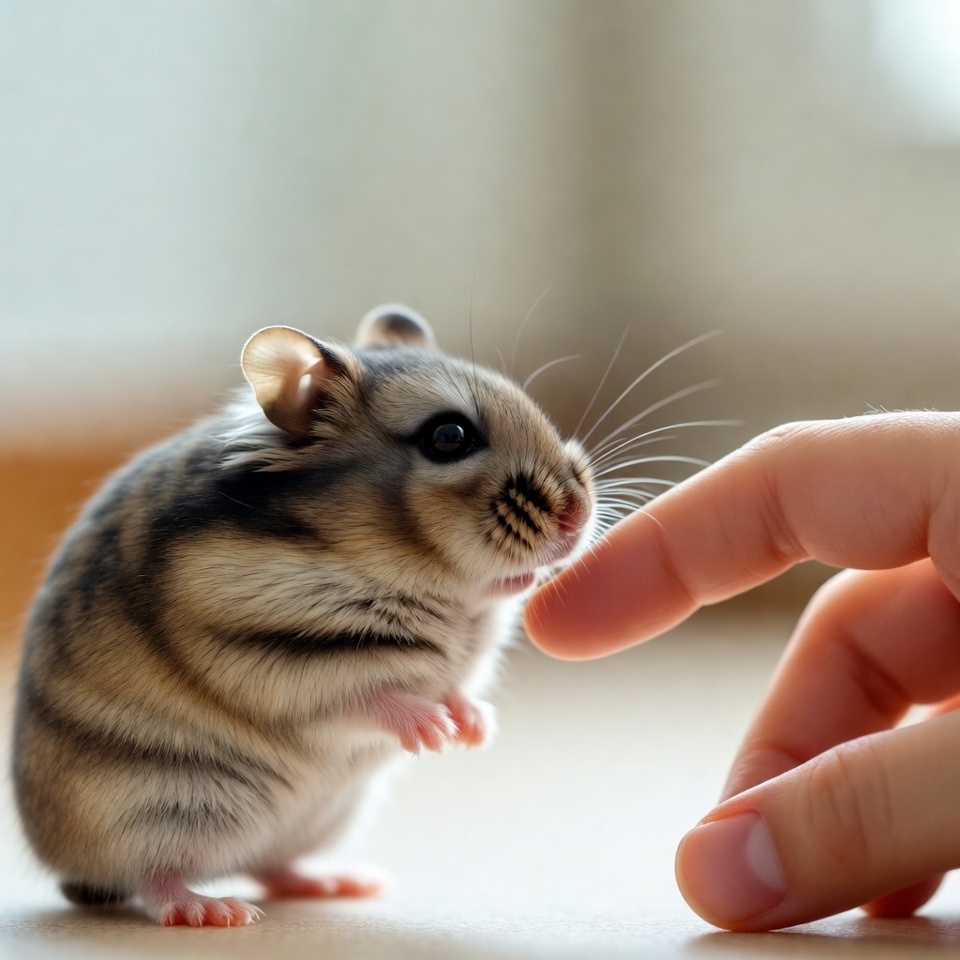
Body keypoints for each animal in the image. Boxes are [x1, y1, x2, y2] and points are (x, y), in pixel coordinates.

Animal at [12, 305, 594, 927]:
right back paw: (215, 911)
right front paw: (435, 732)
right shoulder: (287, 662)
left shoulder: (458, 662)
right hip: (155, 806)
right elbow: (369, 697)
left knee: (270, 865)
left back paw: (341, 883)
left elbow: (457, 689)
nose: (579, 517)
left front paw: (474, 729)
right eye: (448, 437)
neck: (448, 597)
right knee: (154, 878)